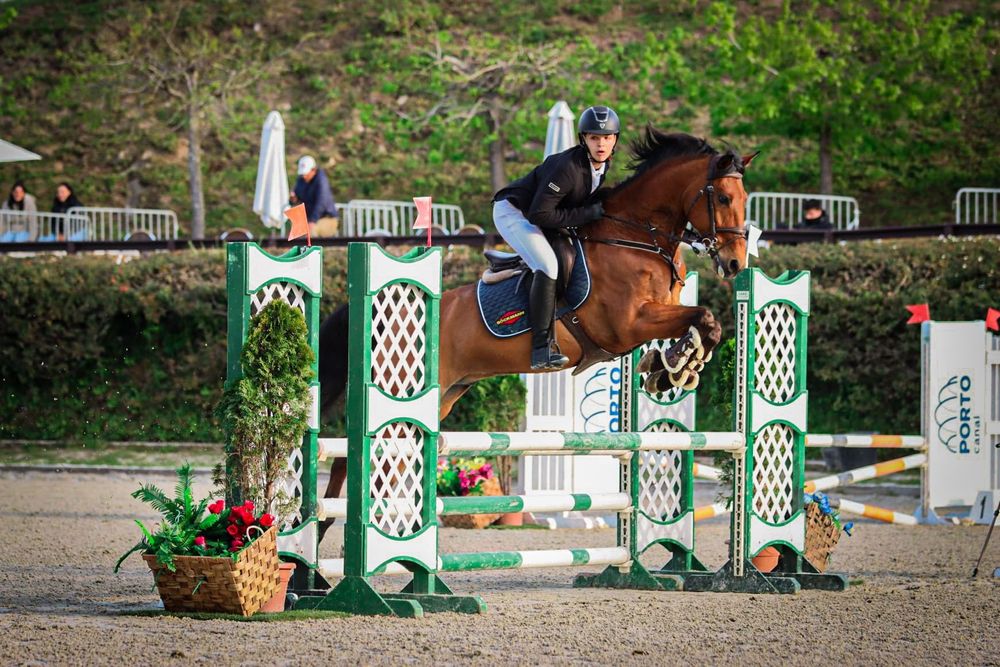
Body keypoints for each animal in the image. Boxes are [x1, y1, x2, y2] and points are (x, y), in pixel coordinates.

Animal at [315, 127, 756, 540]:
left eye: (745, 196)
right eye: (722, 198)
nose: (735, 264)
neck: (636, 238)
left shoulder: (656, 314)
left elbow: (704, 323)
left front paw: (671, 368)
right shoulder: (627, 324)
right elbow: (701, 317)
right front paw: (674, 365)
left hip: (441, 394)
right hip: (401, 384)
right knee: (351, 457)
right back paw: (326, 536)